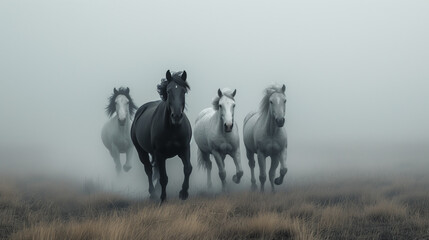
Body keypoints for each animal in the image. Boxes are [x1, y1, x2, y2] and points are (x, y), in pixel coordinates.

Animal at [130, 70, 191, 203]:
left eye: (184, 91)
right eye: (168, 91)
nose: (176, 116)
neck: (173, 129)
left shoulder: (184, 149)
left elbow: (188, 169)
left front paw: (183, 193)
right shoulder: (159, 153)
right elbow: (163, 178)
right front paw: (163, 199)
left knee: (156, 170)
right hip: (142, 151)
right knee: (148, 169)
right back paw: (153, 194)